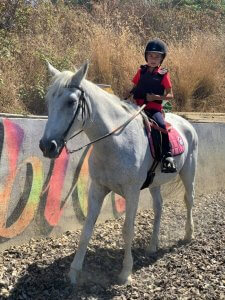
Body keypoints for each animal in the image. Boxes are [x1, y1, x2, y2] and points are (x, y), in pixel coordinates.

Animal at [39, 61, 198, 286]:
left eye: (71, 102)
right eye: (48, 100)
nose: (47, 146)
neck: (115, 141)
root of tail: (186, 124)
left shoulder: (132, 193)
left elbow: (127, 230)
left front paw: (125, 272)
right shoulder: (97, 189)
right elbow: (86, 230)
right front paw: (74, 272)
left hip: (189, 171)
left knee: (189, 200)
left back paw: (188, 235)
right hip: (156, 183)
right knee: (159, 208)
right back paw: (152, 246)